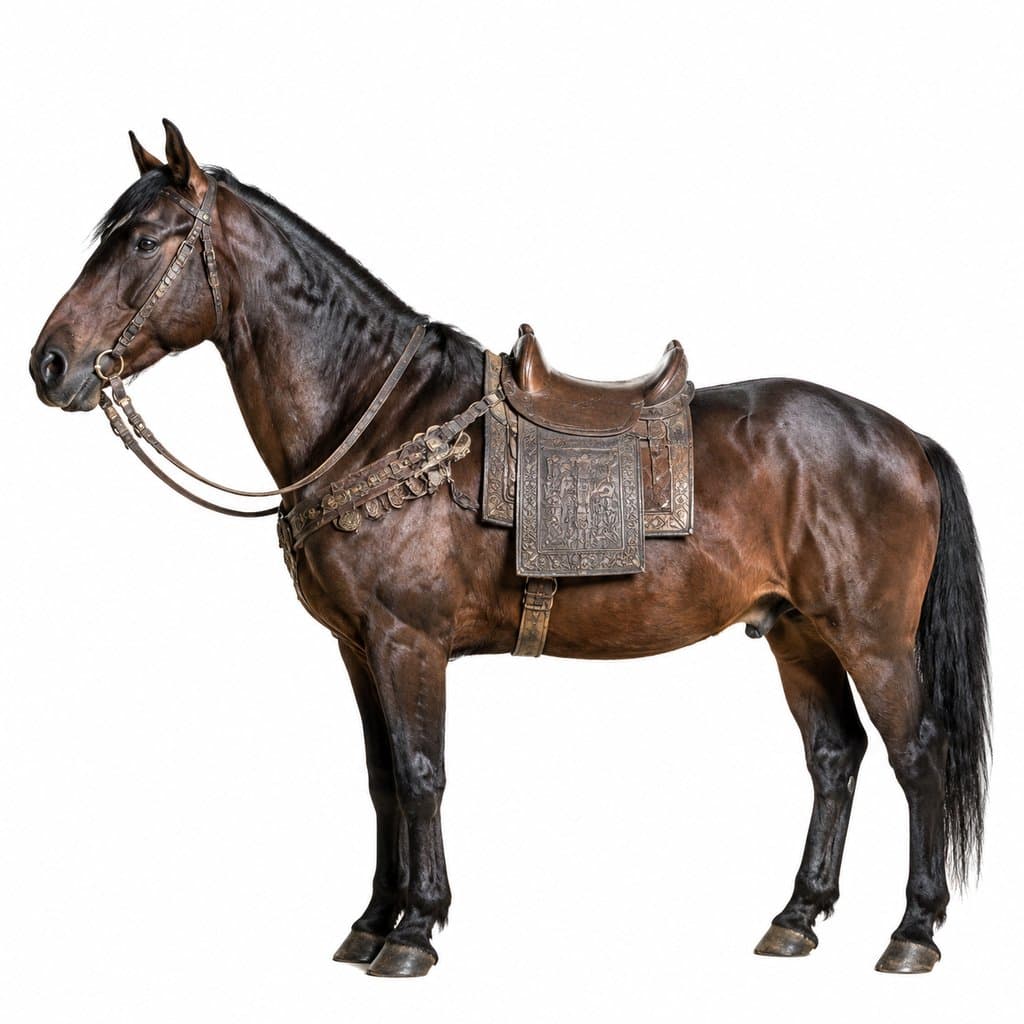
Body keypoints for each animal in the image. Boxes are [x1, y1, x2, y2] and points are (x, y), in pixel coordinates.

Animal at [29, 121, 990, 978]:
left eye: (142, 240)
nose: (50, 365)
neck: (380, 418)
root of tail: (903, 439)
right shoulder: (358, 649)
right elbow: (381, 779)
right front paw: (371, 924)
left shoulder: (408, 641)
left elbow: (421, 773)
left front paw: (415, 931)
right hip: (796, 633)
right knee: (834, 759)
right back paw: (796, 918)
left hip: (870, 638)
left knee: (918, 757)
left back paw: (913, 931)